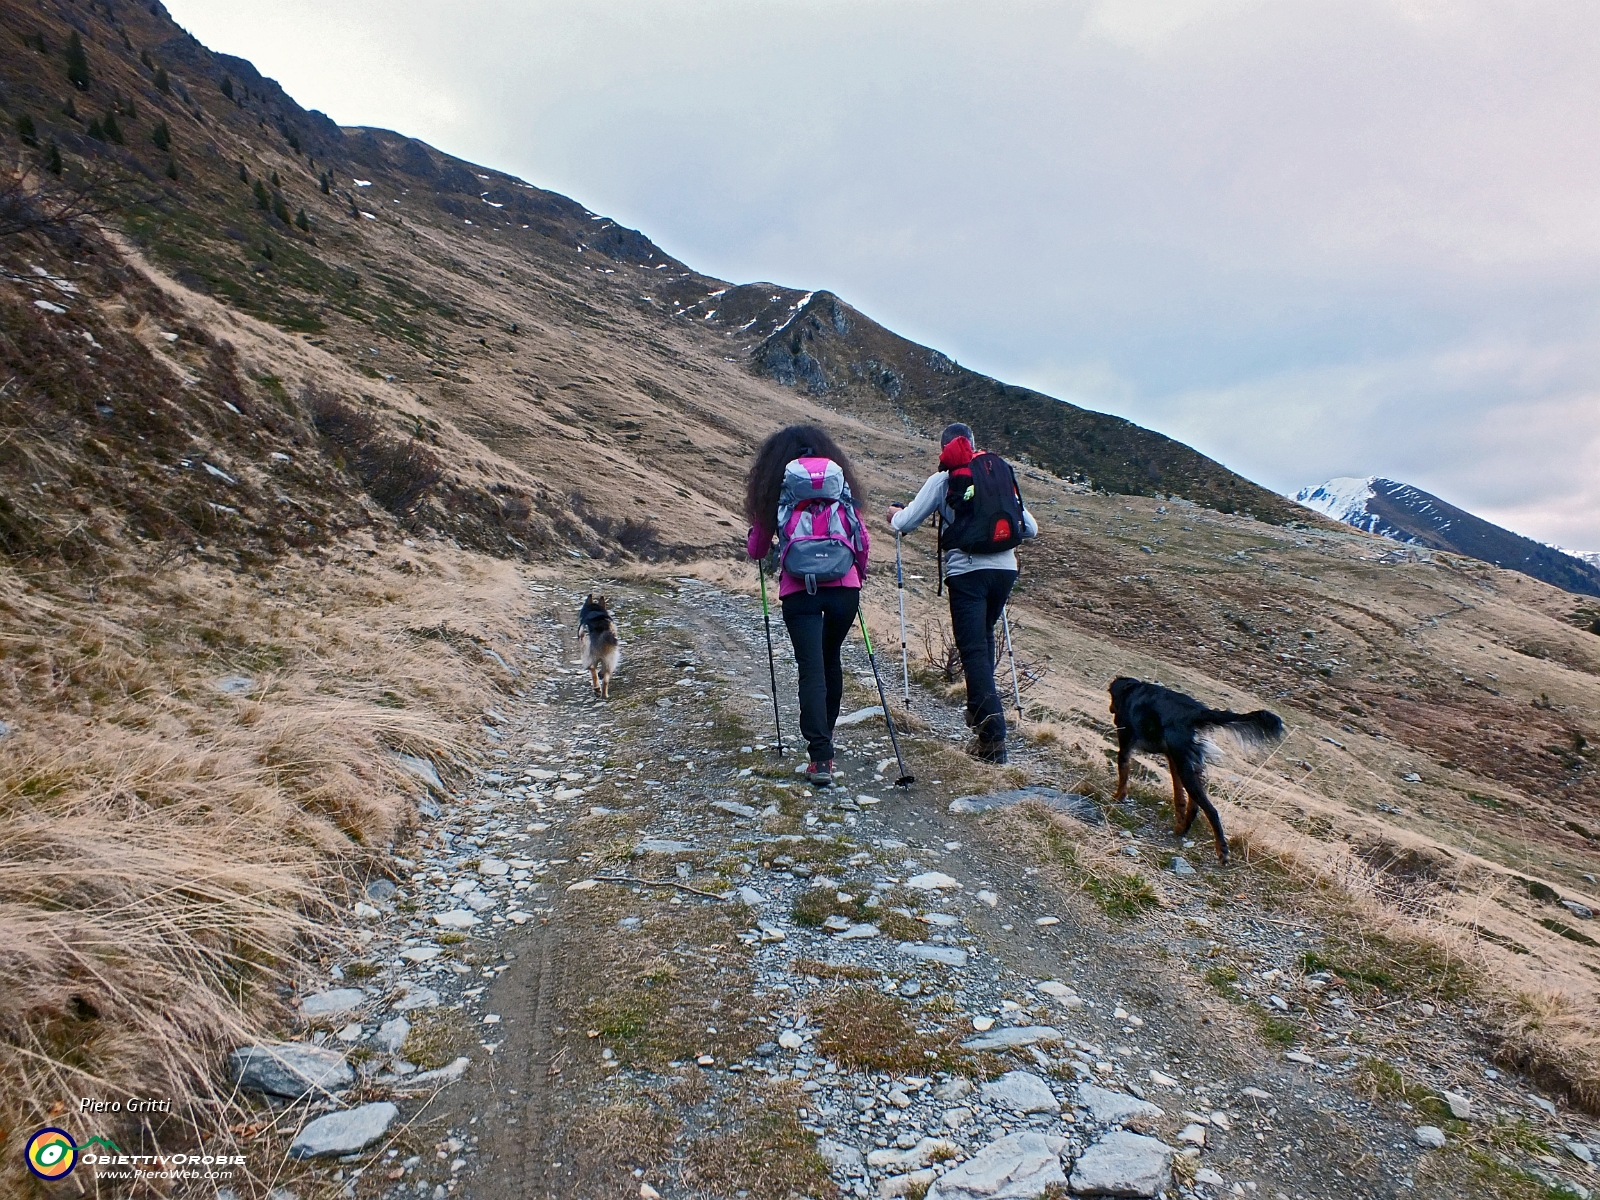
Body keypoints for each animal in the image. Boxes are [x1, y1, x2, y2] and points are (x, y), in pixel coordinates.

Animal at [1107, 678, 1280, 864]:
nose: (1110, 709)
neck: (1131, 690)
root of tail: (1195, 712)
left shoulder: (1126, 746)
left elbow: (1123, 775)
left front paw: (1117, 797)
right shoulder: (1172, 758)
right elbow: (1179, 795)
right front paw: (1179, 815)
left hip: (1186, 768)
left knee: (1210, 810)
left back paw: (1221, 850)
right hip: (1187, 766)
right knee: (1194, 805)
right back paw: (1182, 828)